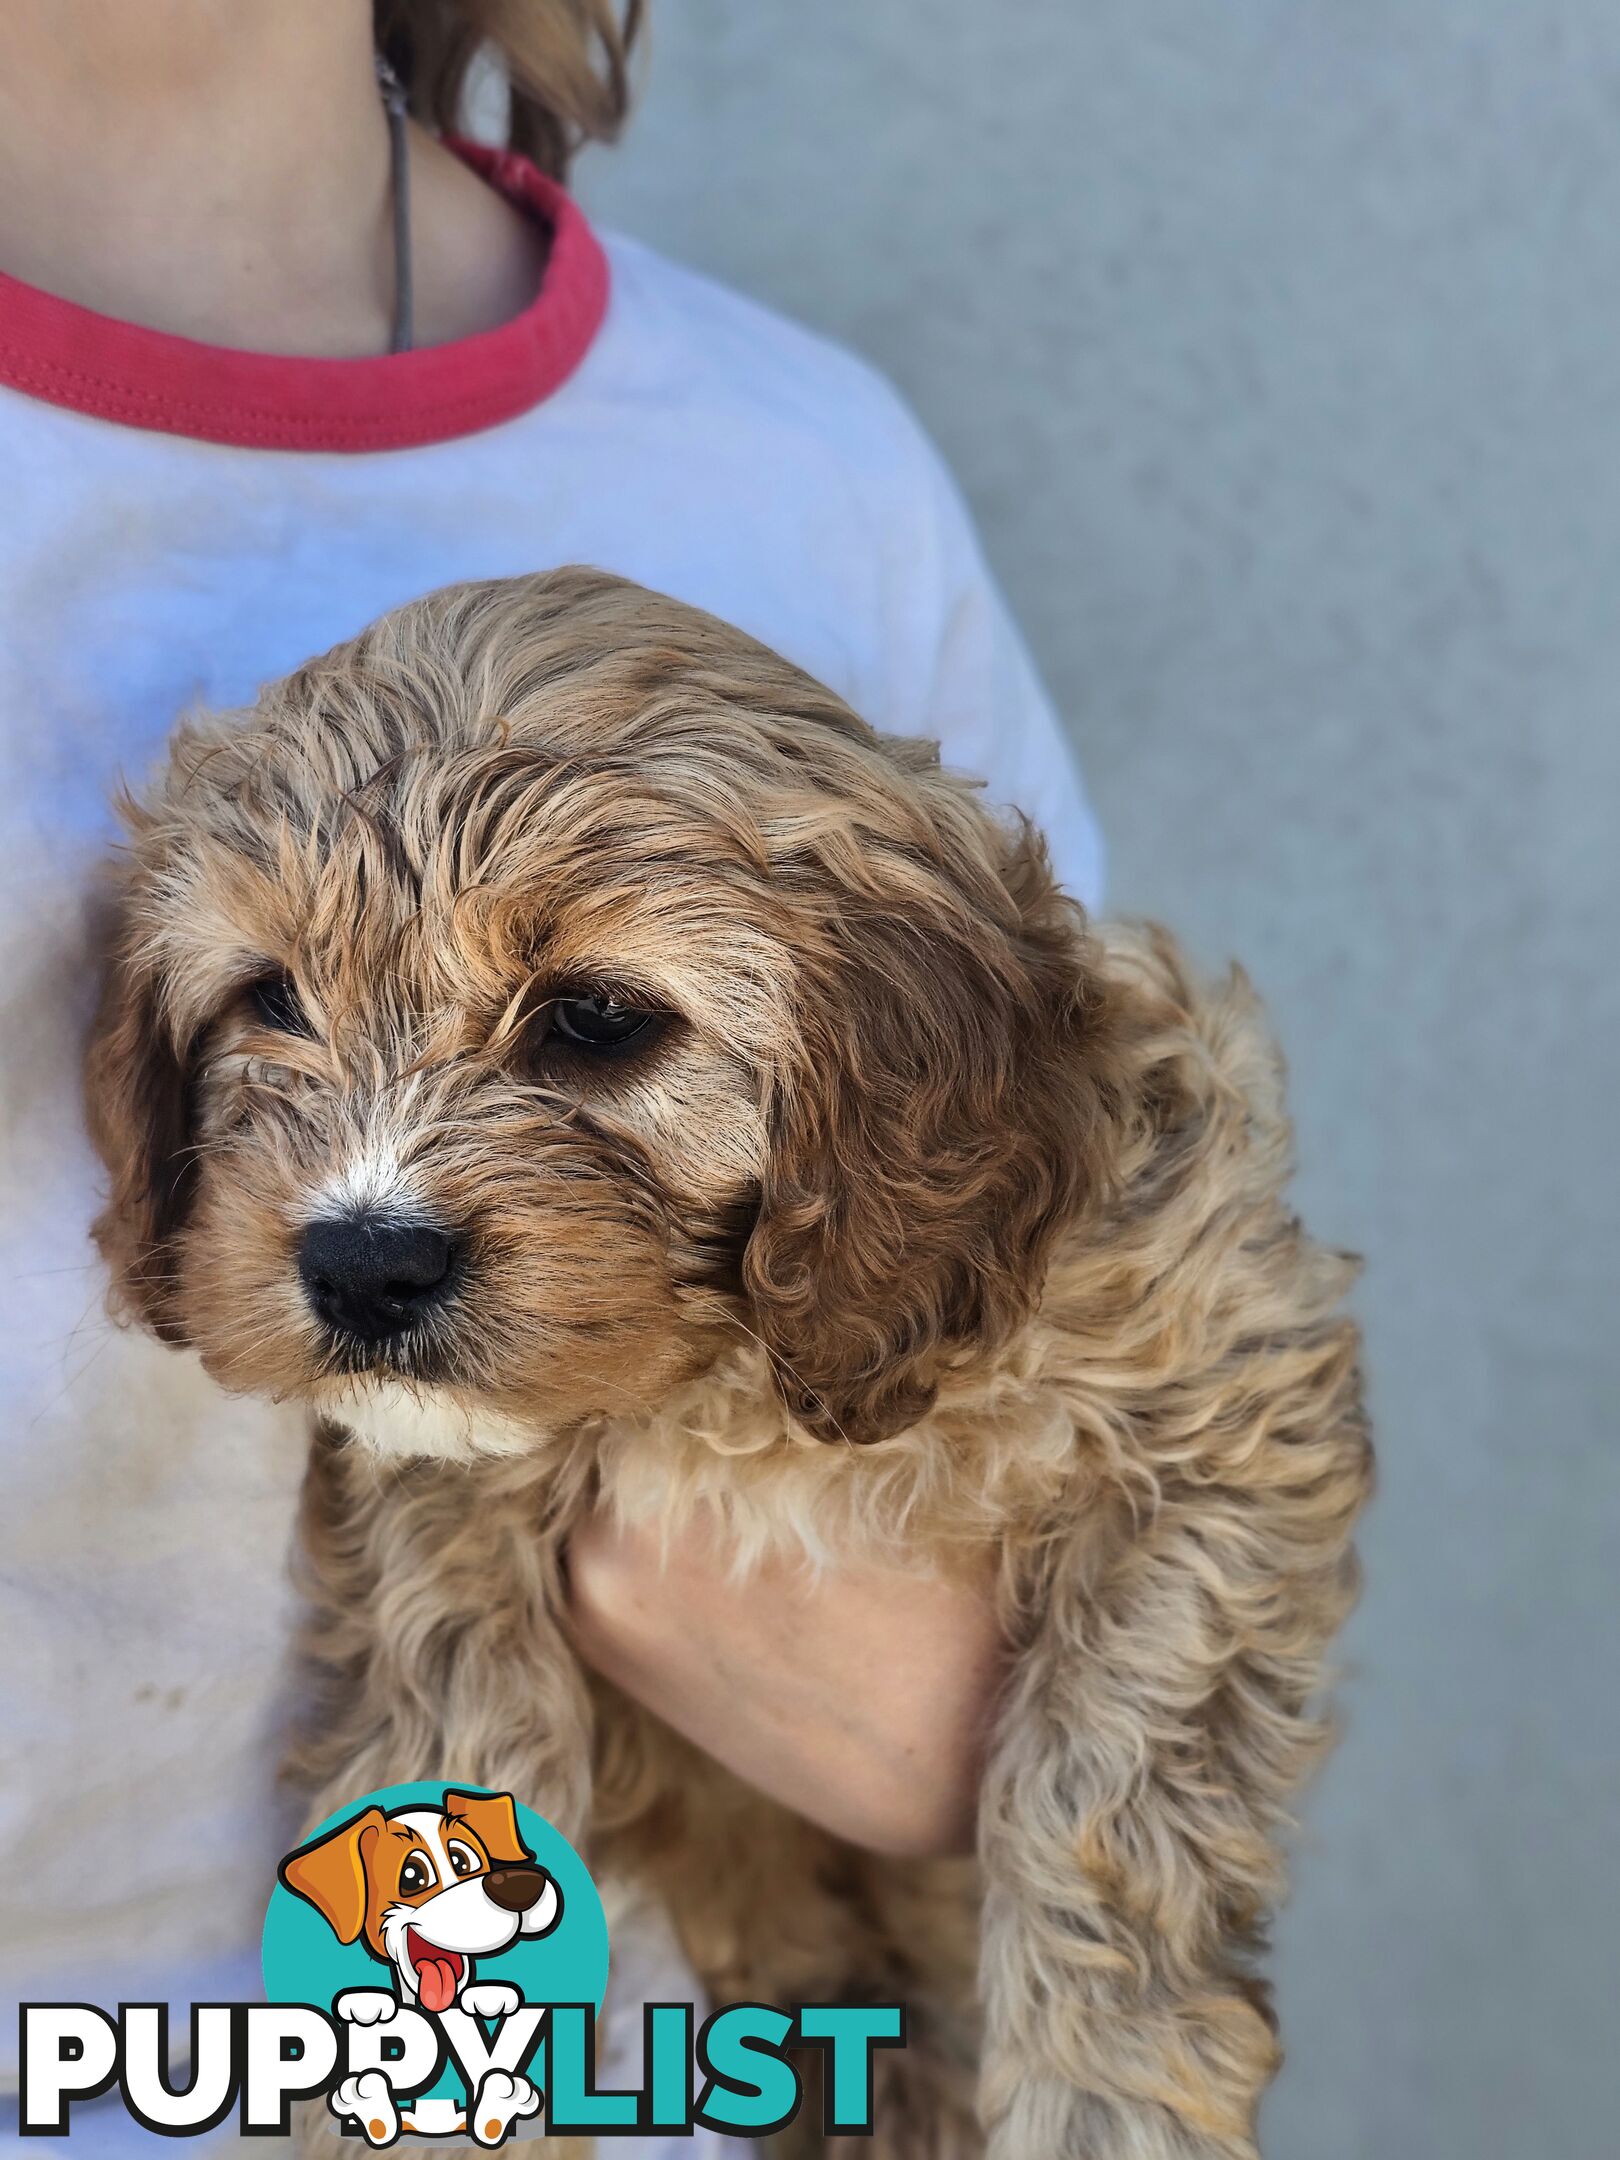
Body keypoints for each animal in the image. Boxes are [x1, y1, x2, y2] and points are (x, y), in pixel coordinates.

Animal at [85, 574, 1373, 2160]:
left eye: (594, 1019)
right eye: (268, 998)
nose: (363, 1266)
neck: (730, 1384)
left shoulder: (1215, 1414)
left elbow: (1110, 1798)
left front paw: (1111, 2106)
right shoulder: (435, 1500)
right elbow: (455, 1723)